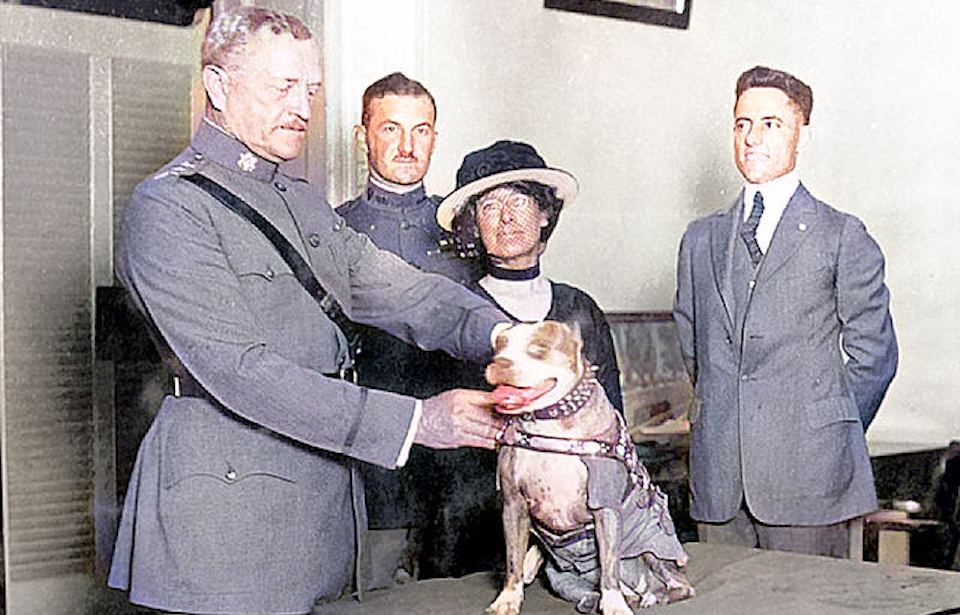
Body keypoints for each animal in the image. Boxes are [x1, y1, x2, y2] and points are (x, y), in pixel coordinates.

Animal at [488, 322, 688, 615]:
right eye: (498, 348)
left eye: (539, 348)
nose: (500, 364)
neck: (551, 427)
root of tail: (643, 584)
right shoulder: (513, 504)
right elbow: (513, 558)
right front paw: (507, 598)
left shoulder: (604, 506)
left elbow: (608, 562)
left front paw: (614, 604)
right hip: (563, 578)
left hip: (652, 548)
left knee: (679, 584)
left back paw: (653, 597)